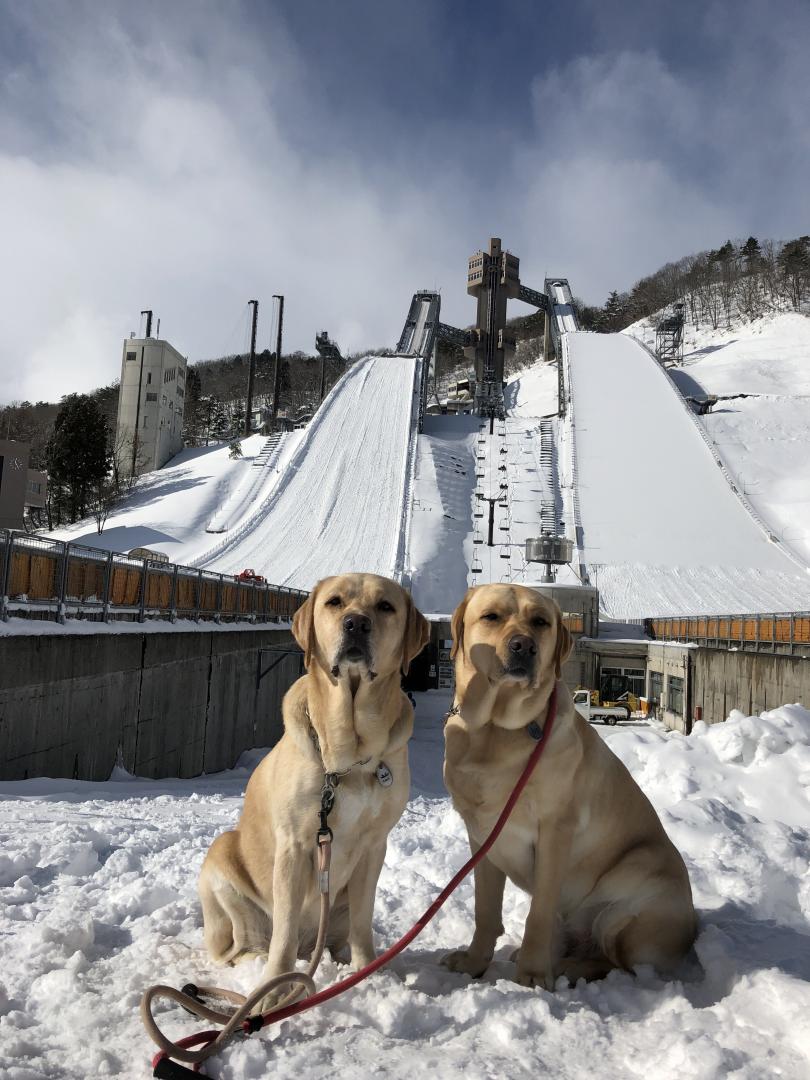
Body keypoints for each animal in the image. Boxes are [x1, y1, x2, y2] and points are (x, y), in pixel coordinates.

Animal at [198, 570, 432, 997]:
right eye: (334, 602)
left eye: (385, 606)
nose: (356, 624)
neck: (346, 760)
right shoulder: (294, 845)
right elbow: (286, 930)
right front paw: (274, 988)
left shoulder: (374, 845)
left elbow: (362, 921)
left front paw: (366, 971)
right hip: (222, 859)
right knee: (242, 946)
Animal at [444, 583, 699, 989]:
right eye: (491, 616)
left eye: (540, 621)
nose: (524, 646)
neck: (496, 730)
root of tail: (692, 930)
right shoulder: (481, 835)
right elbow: (485, 910)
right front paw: (473, 963)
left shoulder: (554, 833)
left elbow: (539, 913)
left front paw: (532, 976)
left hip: (627, 903)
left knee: (617, 964)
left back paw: (568, 968)